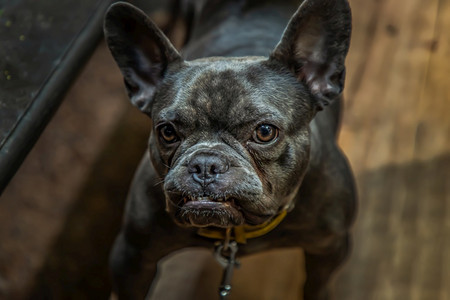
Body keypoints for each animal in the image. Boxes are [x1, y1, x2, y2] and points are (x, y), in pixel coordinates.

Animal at [103, 0, 356, 298]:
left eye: (265, 132)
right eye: (167, 132)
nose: (205, 164)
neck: (234, 231)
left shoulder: (330, 248)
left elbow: (316, 285)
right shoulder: (132, 257)